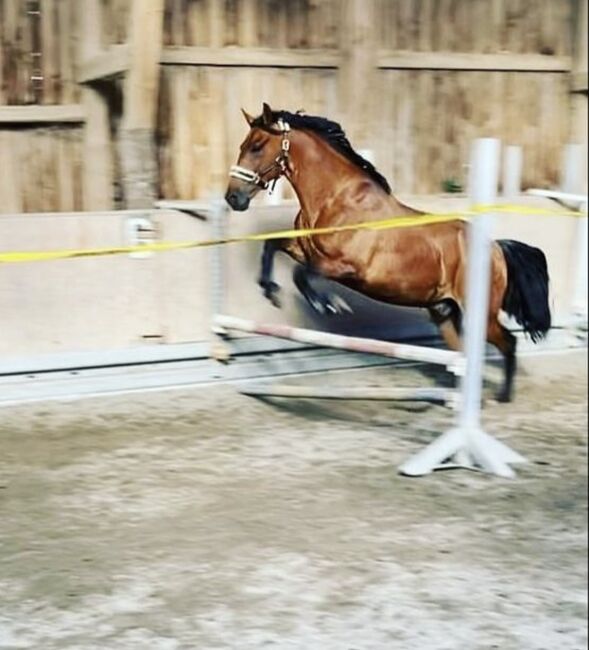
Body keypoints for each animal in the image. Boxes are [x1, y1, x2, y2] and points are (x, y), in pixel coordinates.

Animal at [226, 101, 552, 400]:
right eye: (243, 145)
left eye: (257, 146)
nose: (233, 198)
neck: (337, 199)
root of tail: (495, 247)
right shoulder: (304, 248)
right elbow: (272, 246)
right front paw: (270, 290)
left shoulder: (346, 267)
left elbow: (302, 275)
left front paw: (328, 305)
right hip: (444, 313)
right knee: (464, 354)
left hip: (480, 313)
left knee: (508, 343)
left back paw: (502, 396)